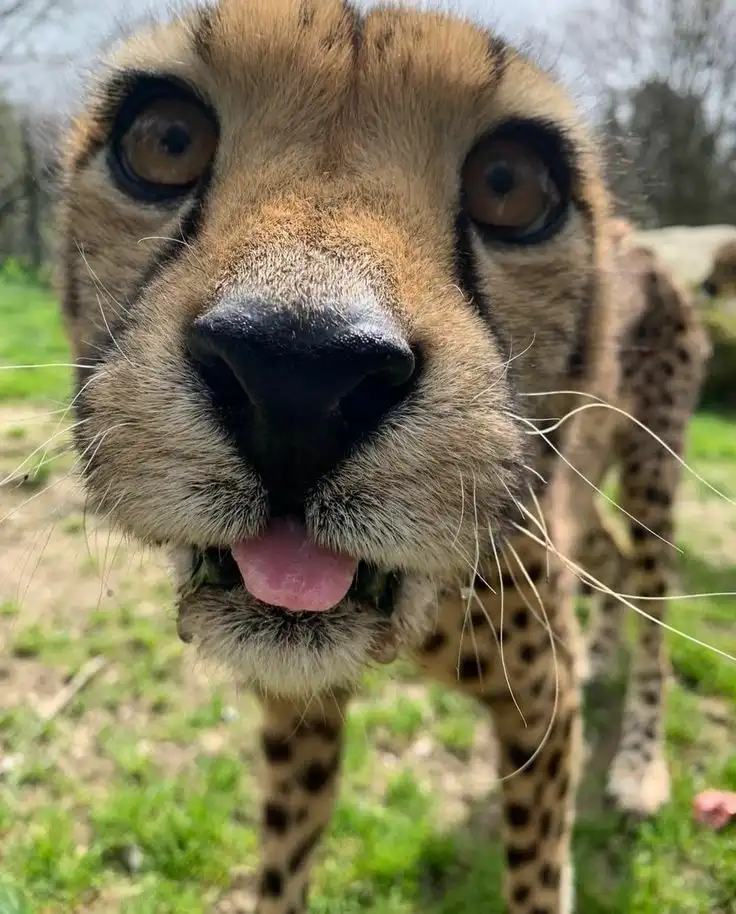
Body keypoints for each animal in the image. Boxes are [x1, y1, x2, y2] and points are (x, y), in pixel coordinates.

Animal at [53, 0, 655, 910]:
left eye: (509, 186)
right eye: (166, 139)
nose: (297, 372)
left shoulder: (539, 710)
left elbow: (538, 873)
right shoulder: (297, 705)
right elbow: (285, 860)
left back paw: (640, 767)